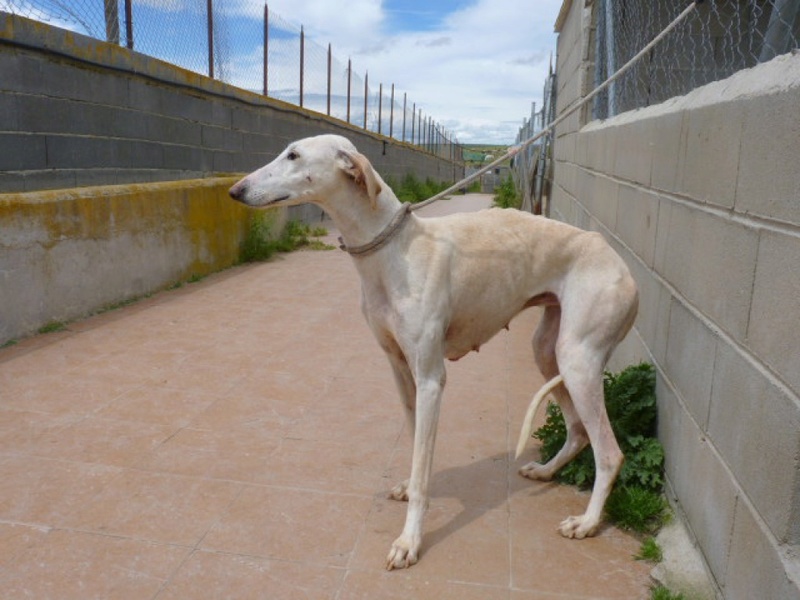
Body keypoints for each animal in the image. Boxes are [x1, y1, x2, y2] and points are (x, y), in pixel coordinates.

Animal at [228, 135, 640, 572]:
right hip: (549, 352)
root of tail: (623, 267)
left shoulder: (430, 379)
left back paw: (588, 522)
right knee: (578, 430)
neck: (394, 250)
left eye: (293, 155)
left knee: (610, 452)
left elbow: (424, 465)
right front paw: (410, 489)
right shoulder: (400, 371)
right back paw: (546, 472)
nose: (234, 190)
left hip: (578, 360)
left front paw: (409, 541)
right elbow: (415, 448)